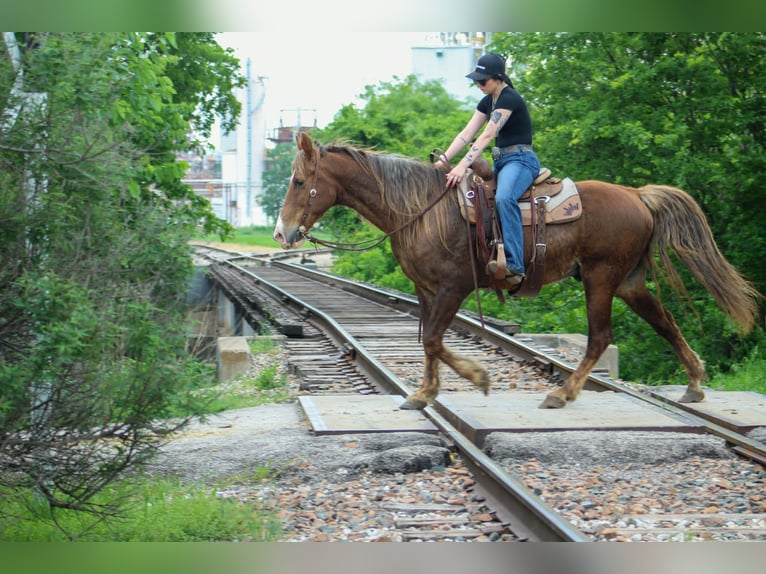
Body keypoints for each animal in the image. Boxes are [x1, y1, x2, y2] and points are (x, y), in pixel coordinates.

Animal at [273, 132, 761, 410]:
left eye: (299, 181)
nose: (282, 233)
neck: (420, 209)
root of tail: (637, 195)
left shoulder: (454, 286)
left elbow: (434, 340)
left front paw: (478, 377)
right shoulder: (427, 289)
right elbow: (430, 342)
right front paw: (425, 393)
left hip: (601, 278)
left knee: (600, 337)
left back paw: (562, 393)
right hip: (628, 282)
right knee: (664, 321)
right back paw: (694, 383)